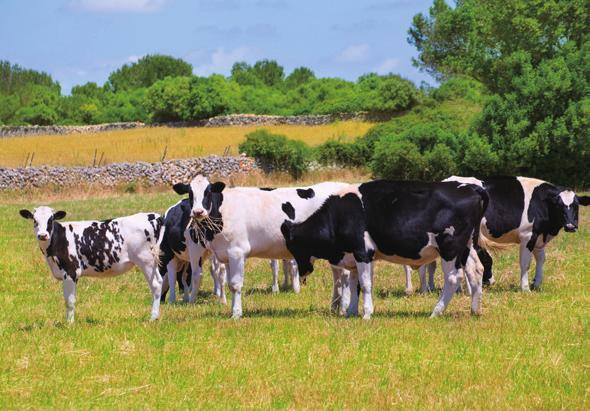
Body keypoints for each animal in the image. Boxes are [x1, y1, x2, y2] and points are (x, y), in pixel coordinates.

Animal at [19, 208, 164, 324]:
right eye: (34, 220)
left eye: (51, 220)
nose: (42, 235)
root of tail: (154, 216)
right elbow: (69, 299)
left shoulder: (71, 272)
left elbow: (69, 301)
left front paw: (69, 324)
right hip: (152, 263)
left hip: (145, 260)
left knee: (156, 285)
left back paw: (153, 318)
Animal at [172, 175, 352, 320]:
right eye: (190, 193)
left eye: (208, 192)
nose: (198, 211)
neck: (223, 211)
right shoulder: (226, 255)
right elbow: (229, 284)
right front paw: (233, 310)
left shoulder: (237, 252)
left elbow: (236, 284)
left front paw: (236, 314)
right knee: (337, 276)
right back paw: (335, 306)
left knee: (344, 276)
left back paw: (343, 308)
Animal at [282, 182, 490, 320]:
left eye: (294, 246)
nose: (304, 271)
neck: (339, 215)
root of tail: (470, 187)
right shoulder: (354, 257)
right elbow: (354, 284)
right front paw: (351, 312)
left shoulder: (363, 252)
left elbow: (365, 284)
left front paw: (366, 314)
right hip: (468, 246)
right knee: (476, 271)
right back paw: (475, 310)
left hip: (450, 246)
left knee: (454, 278)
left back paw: (435, 312)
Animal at [434, 175, 590, 292]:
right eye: (559, 206)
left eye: (576, 205)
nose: (570, 226)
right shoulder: (527, 236)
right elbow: (525, 263)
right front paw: (525, 288)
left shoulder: (539, 237)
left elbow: (541, 259)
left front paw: (536, 284)